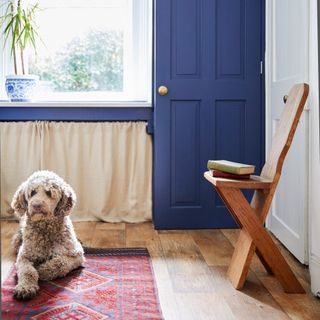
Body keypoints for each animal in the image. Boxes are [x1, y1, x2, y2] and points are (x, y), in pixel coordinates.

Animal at [10, 172, 84, 300]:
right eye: (32, 192)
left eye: (49, 193)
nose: (36, 205)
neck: (45, 228)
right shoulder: (24, 255)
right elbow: (27, 271)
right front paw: (25, 287)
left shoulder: (77, 254)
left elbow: (60, 263)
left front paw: (42, 271)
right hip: (17, 241)